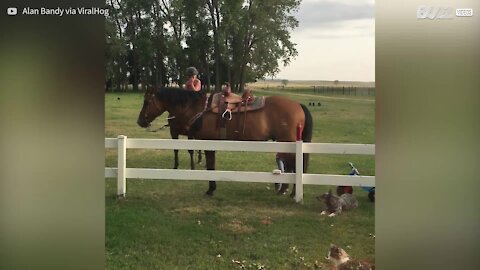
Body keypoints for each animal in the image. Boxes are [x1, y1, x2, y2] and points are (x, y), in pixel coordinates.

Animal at [137, 87, 314, 197]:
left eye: (147, 101)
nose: (140, 121)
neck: (199, 109)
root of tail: (298, 105)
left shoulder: (208, 143)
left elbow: (210, 166)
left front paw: (210, 189)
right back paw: (285, 190)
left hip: (288, 142)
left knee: (294, 164)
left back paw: (291, 192)